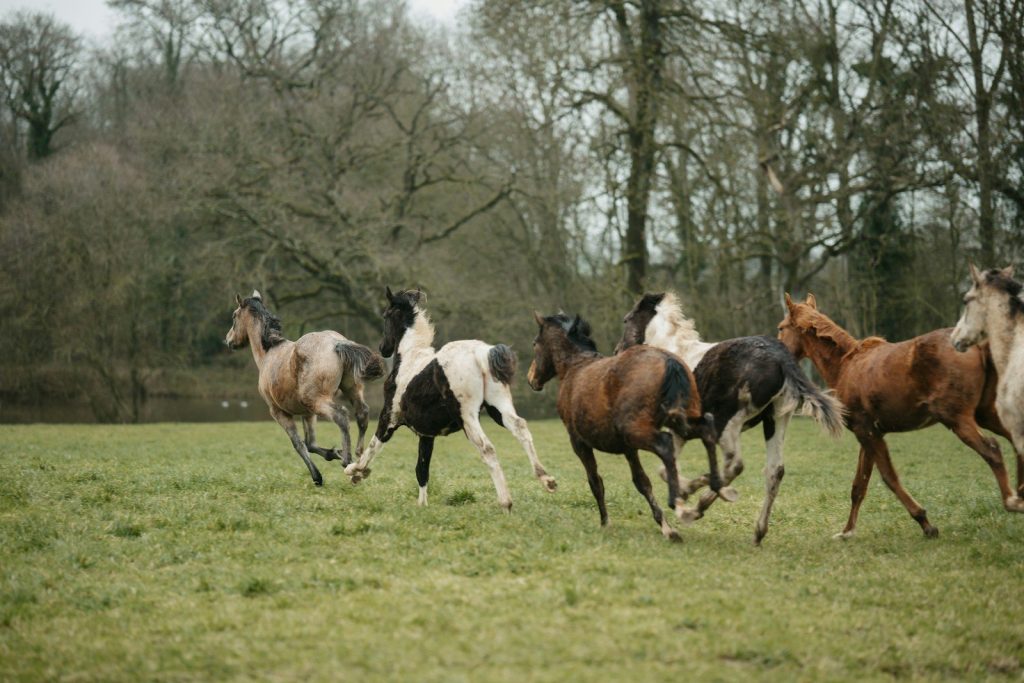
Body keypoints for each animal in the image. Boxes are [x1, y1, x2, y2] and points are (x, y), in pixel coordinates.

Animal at [225, 290, 385, 486]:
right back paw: (359, 459)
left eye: (234, 316)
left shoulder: (278, 412)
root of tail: (336, 343)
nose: (229, 340)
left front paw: (317, 476)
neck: (269, 353)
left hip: (318, 401)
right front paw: (334, 453)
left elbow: (299, 444)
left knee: (341, 416)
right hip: (350, 390)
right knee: (362, 414)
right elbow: (311, 443)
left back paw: (348, 462)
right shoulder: (307, 413)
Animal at [344, 288, 557, 510]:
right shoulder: (426, 434)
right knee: (520, 428)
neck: (410, 359)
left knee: (487, 448)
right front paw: (422, 506)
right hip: (499, 408)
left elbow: (372, 447)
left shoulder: (389, 419)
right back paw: (547, 480)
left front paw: (355, 472)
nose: (383, 348)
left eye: (386, 315)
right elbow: (422, 470)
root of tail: (481, 354)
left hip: (468, 417)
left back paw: (505, 502)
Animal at [527, 311, 736, 542]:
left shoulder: (579, 442)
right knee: (707, 430)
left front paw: (605, 523)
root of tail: (670, 361)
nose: (531, 379)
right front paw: (666, 527)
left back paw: (679, 501)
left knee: (665, 445)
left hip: (638, 430)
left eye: (535, 343)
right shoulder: (628, 449)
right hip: (680, 421)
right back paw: (717, 486)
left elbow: (596, 482)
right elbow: (642, 482)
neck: (574, 367)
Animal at [617, 292, 845, 545]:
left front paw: (684, 496)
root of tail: (782, 359)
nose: (618, 352)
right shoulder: (682, 433)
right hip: (777, 419)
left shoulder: (679, 431)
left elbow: (665, 470)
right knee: (774, 470)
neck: (674, 349)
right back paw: (757, 531)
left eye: (626, 320)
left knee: (735, 464)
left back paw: (701, 504)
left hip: (727, 421)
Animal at [778, 293, 1024, 539]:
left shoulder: (866, 432)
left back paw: (1012, 501)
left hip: (956, 418)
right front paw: (847, 532)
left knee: (992, 449)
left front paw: (926, 524)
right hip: (986, 414)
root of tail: (978, 346)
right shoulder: (869, 433)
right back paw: (1020, 495)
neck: (845, 365)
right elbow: (859, 485)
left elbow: (888, 477)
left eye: (781, 328)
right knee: (1015, 440)